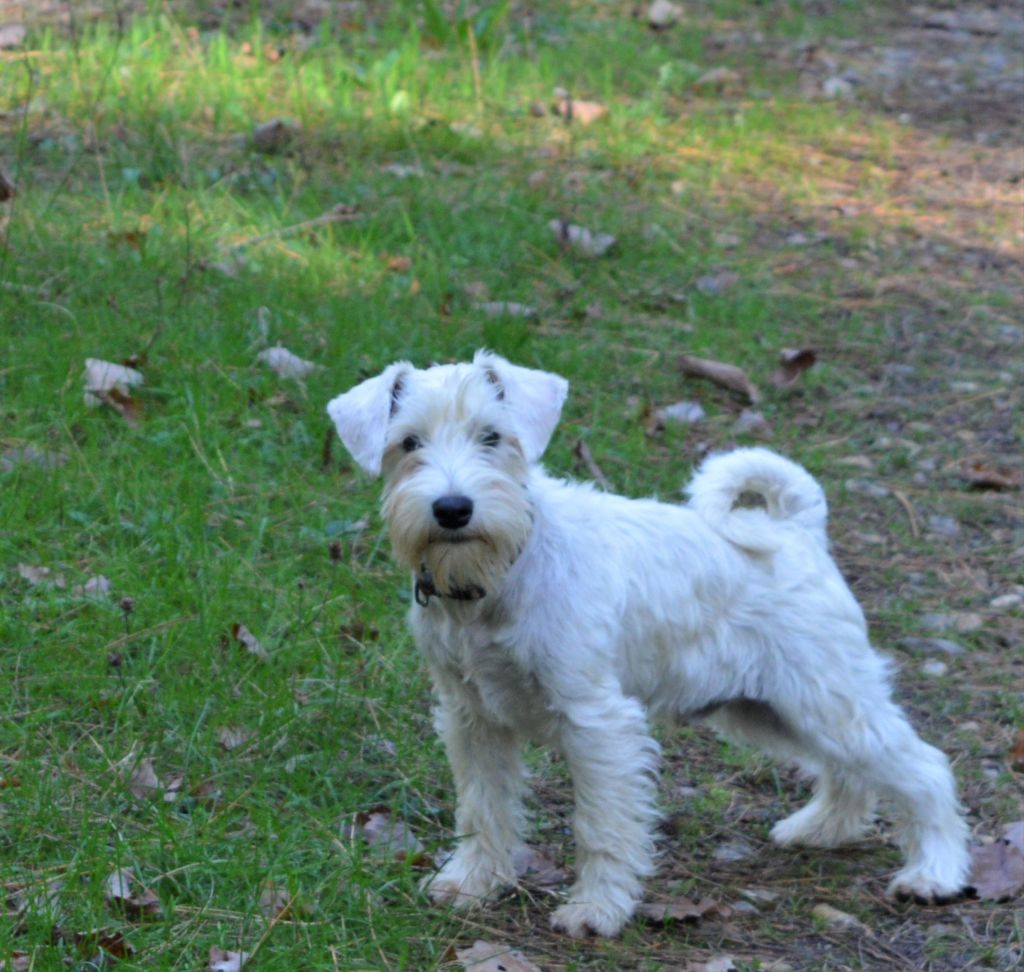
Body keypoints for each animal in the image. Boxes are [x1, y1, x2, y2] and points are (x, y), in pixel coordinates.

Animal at [325, 348, 966, 934]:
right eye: (408, 443)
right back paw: (821, 829)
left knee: (924, 767)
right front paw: (472, 882)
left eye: (492, 437)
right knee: (851, 771)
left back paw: (933, 873)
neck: (500, 573)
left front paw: (596, 910)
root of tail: (798, 529)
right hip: (774, 710)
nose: (453, 509)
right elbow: (483, 808)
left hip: (827, 700)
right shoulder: (471, 718)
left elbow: (601, 825)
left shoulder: (597, 721)